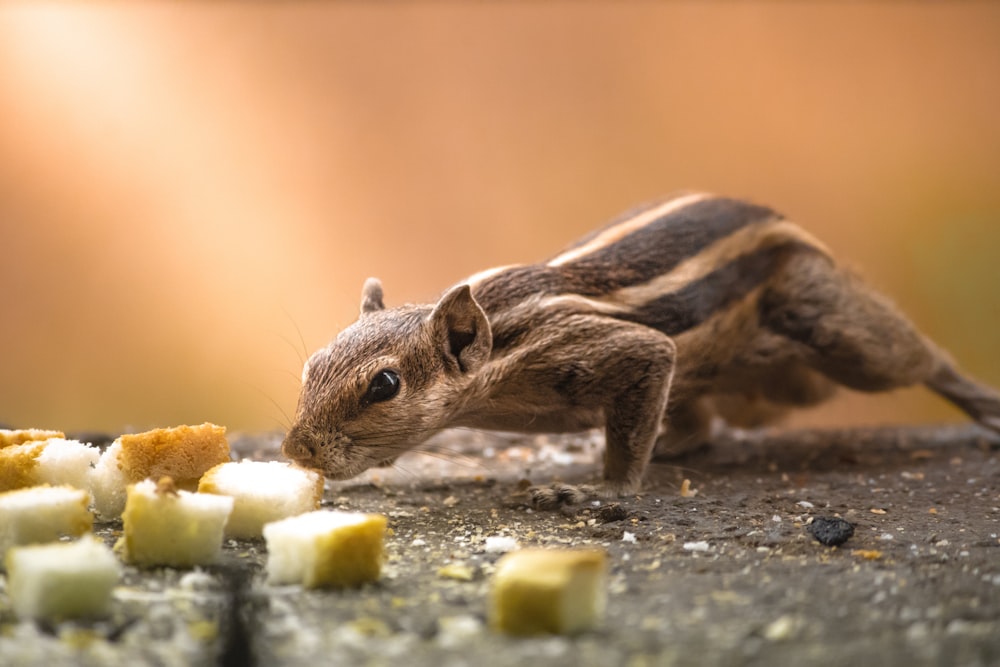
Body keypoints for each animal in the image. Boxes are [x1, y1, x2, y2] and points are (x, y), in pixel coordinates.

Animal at [282, 193, 1000, 496]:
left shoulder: (621, 350)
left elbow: (634, 411)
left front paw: (607, 491)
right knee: (698, 423)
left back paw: (982, 405)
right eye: (312, 365)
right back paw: (674, 443)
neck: (504, 336)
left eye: (384, 385)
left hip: (833, 329)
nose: (297, 450)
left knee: (918, 358)